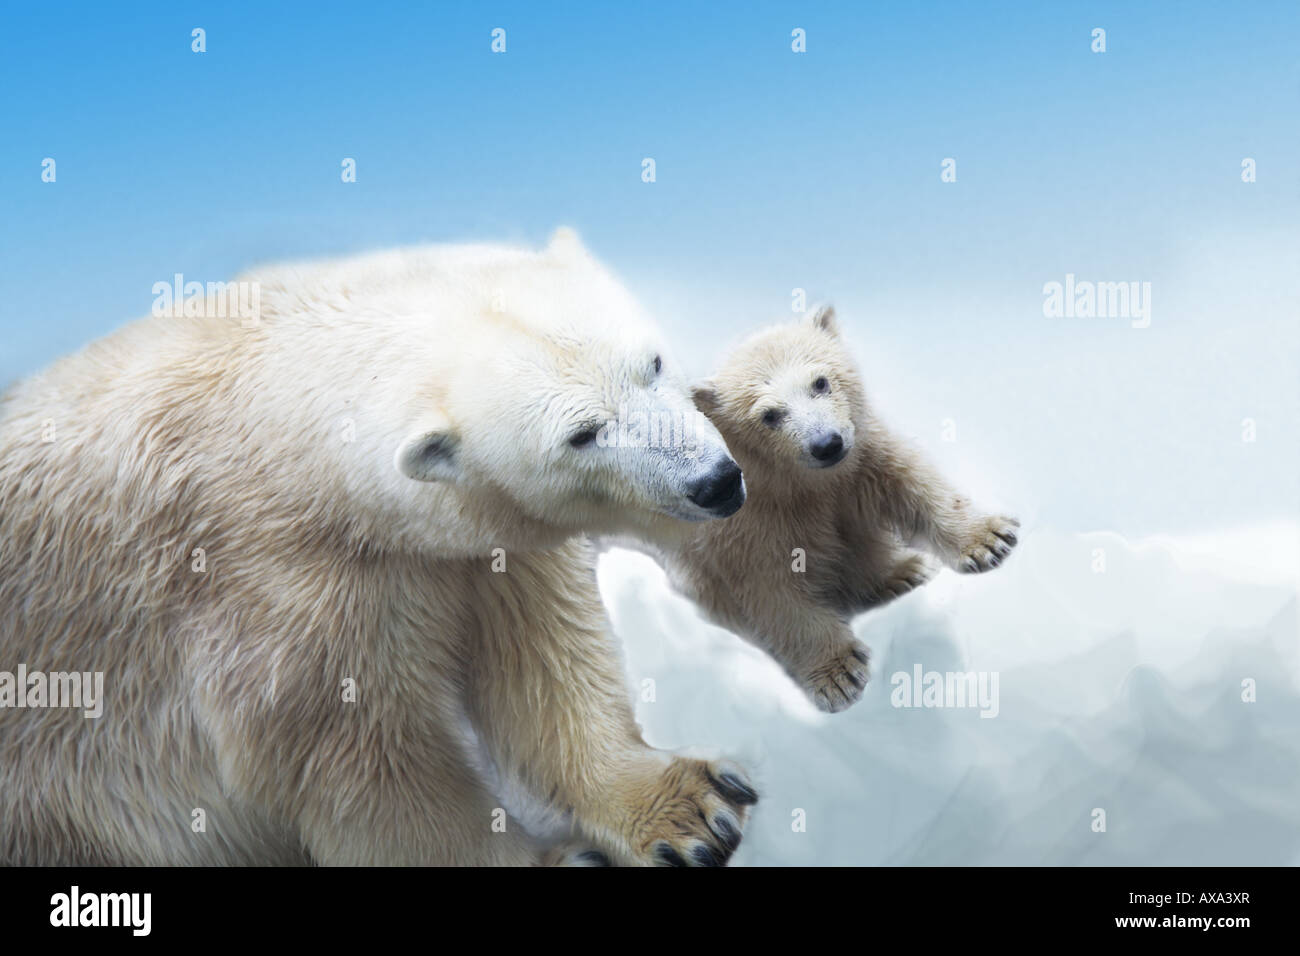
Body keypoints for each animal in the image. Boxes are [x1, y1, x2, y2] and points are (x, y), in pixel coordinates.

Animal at [0, 231, 759, 868]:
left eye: (651, 364)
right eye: (583, 434)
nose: (715, 481)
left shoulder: (468, 547)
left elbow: (544, 655)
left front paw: (693, 807)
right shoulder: (273, 589)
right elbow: (359, 765)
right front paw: (564, 860)